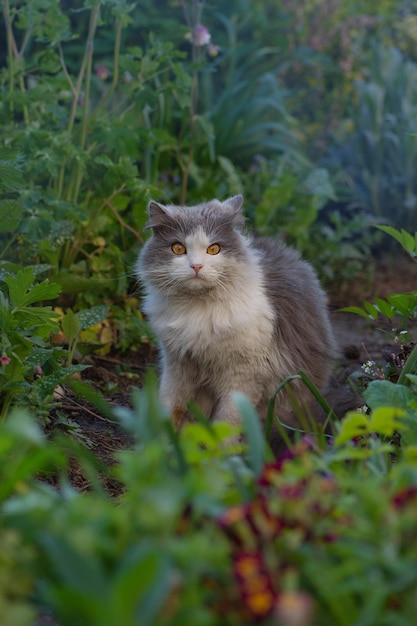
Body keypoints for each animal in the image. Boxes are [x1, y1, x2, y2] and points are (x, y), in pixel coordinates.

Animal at [136, 195, 338, 448]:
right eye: (178, 248)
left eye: (214, 249)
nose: (196, 266)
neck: (198, 310)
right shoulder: (177, 363)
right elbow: (170, 405)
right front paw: (159, 445)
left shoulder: (244, 373)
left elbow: (228, 420)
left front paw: (222, 454)